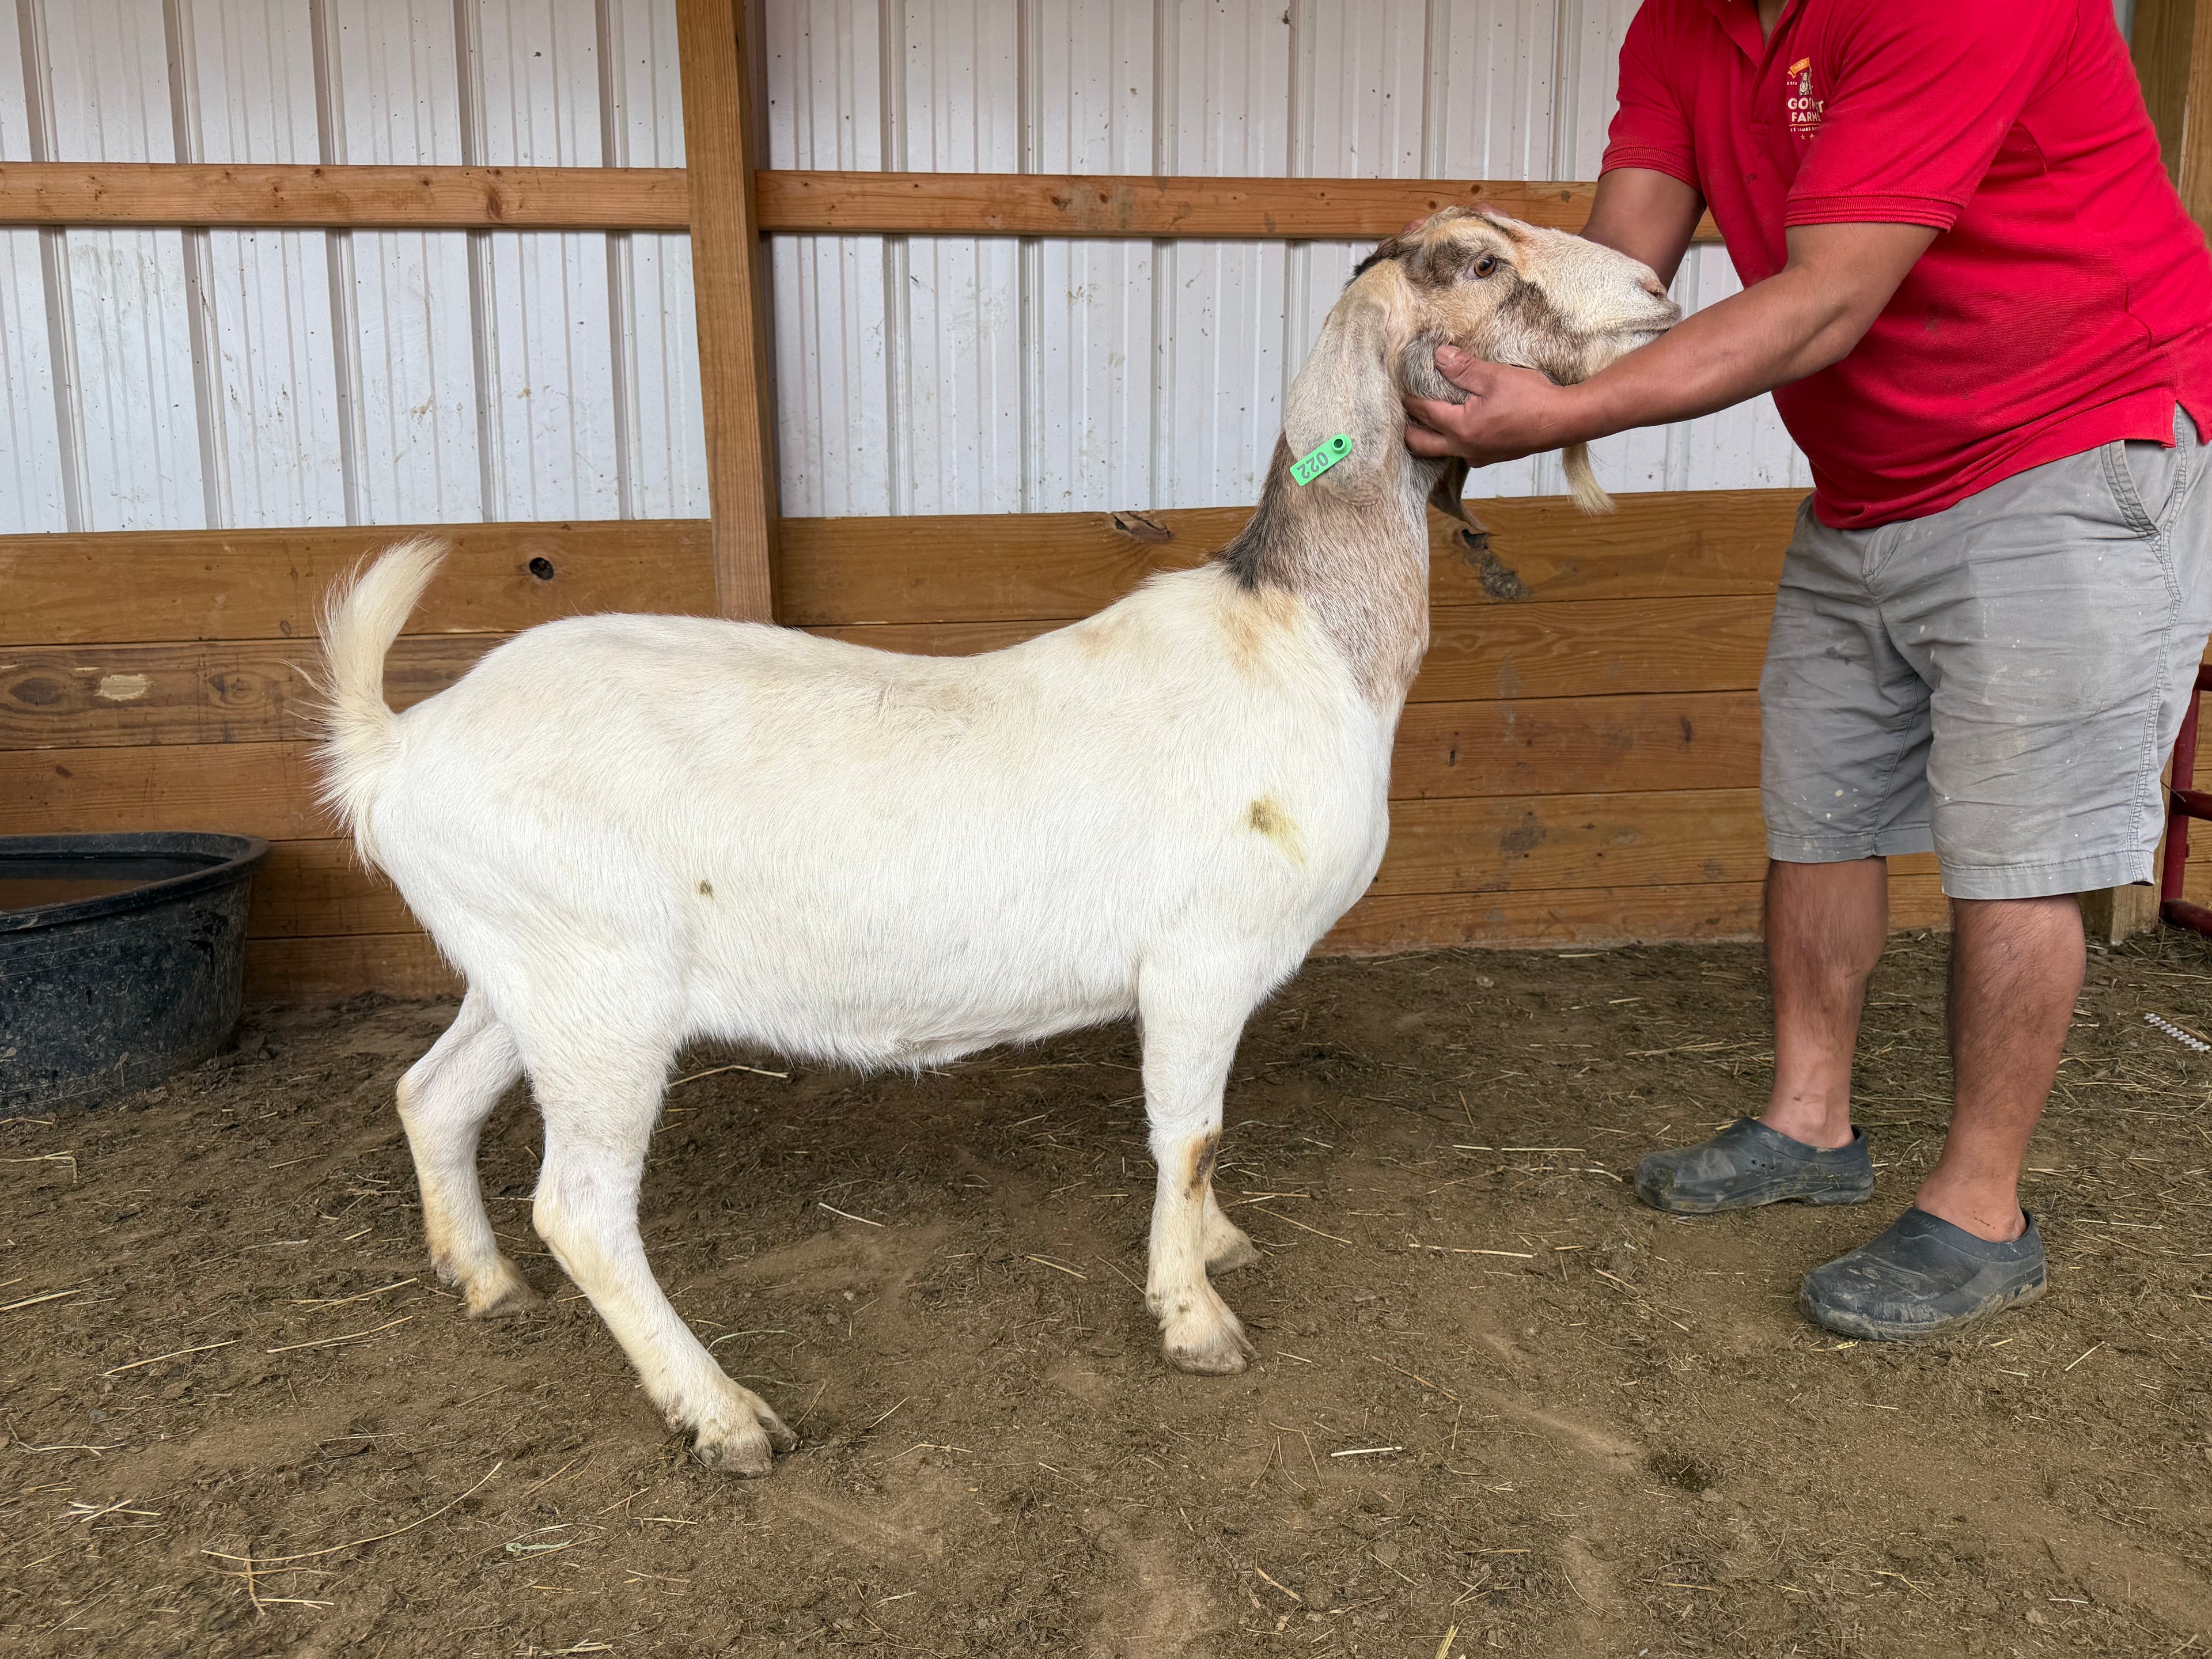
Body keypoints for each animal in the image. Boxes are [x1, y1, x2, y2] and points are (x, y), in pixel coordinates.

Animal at [314, 208, 1677, 1476]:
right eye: (1479, 261)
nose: (1658, 288)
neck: (1299, 638)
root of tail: (397, 745)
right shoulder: (1200, 960)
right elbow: (1189, 1135)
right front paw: (1195, 1317)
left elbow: (1201, 1141)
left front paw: (1218, 1243)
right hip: (602, 992)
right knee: (583, 1209)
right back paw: (724, 1413)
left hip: (523, 970)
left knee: (432, 1096)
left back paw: (485, 1283)